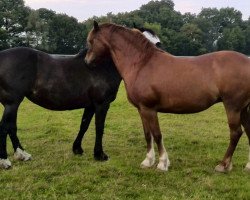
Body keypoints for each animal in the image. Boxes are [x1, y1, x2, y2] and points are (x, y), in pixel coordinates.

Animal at [0, 26, 161, 168]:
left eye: (158, 44)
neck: (101, 66)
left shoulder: (90, 105)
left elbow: (84, 125)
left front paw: (77, 149)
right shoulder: (101, 104)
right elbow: (99, 127)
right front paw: (99, 155)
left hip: (13, 104)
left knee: (11, 127)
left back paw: (22, 154)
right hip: (12, 103)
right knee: (5, 127)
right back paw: (5, 161)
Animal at [85, 21, 250, 172]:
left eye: (91, 41)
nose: (87, 61)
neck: (142, 63)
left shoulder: (149, 109)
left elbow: (157, 134)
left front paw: (162, 163)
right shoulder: (141, 109)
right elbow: (148, 134)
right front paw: (148, 161)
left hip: (233, 107)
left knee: (236, 133)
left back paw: (223, 165)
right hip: (243, 109)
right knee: (248, 131)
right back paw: (247, 166)